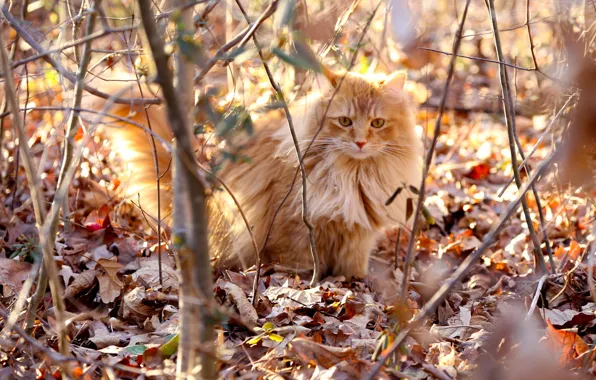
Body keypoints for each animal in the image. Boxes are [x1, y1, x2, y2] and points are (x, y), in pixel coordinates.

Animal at [82, 68, 424, 278]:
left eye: (377, 123)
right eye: (345, 122)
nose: (361, 142)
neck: (352, 174)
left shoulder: (357, 235)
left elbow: (353, 266)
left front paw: (355, 282)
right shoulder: (296, 226)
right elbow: (299, 262)